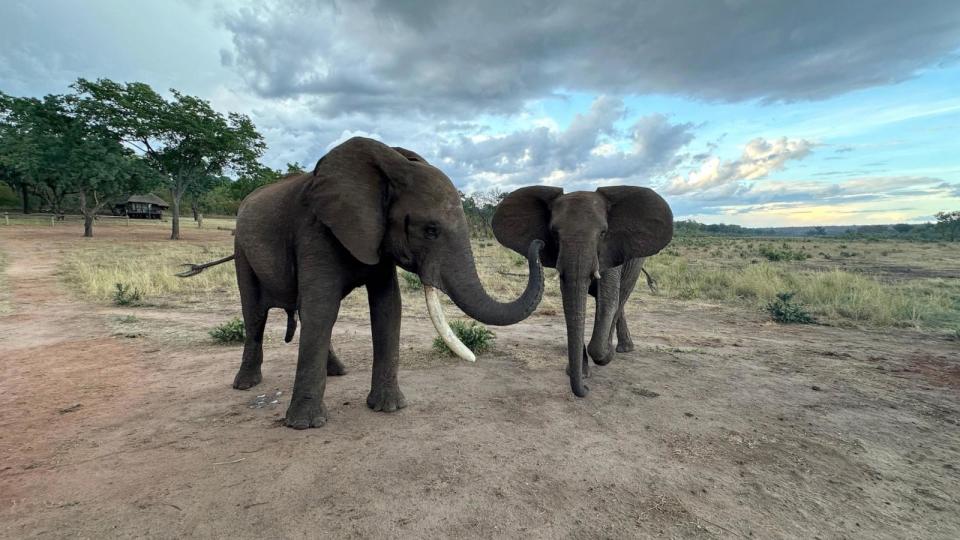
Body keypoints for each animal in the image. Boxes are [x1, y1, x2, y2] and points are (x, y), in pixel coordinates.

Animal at [177, 137, 544, 428]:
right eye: (430, 230)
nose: (539, 243)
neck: (389, 167)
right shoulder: (315, 229)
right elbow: (324, 307)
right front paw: (304, 426)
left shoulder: (378, 237)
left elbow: (387, 306)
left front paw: (389, 408)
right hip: (242, 247)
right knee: (255, 313)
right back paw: (246, 385)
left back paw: (337, 372)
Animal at [492, 186, 672, 396]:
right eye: (553, 233)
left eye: (603, 233)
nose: (585, 389)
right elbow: (570, 302)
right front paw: (578, 373)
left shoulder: (609, 252)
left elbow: (608, 301)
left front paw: (604, 355)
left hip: (636, 262)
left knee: (622, 297)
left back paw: (619, 350)